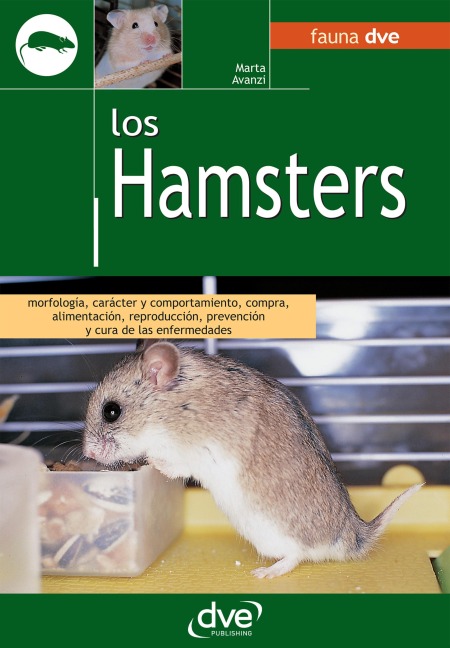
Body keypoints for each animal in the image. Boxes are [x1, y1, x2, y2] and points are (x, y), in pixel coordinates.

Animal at [83, 340, 422, 578]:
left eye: (111, 411)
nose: (88, 454)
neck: (170, 406)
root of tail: (355, 536)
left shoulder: (188, 451)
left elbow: (169, 463)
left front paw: (148, 462)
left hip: (272, 533)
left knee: (296, 555)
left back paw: (264, 573)